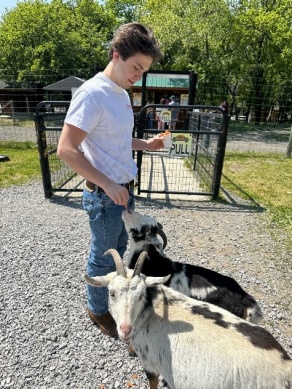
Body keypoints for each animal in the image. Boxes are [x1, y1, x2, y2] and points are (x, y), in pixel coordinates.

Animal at [85, 249, 292, 388]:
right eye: (111, 293)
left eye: (141, 295)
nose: (125, 330)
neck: (150, 309)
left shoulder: (149, 362)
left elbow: (153, 382)